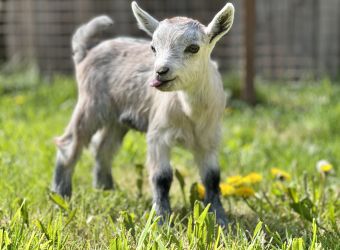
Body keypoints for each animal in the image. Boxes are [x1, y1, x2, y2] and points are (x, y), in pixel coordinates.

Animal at [51, 0, 234, 226]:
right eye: (153, 47)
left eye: (194, 48)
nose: (160, 71)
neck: (190, 112)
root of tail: (86, 53)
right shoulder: (158, 134)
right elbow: (162, 177)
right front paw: (162, 219)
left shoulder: (209, 139)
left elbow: (212, 178)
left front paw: (220, 218)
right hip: (91, 104)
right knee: (70, 144)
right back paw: (61, 196)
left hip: (116, 119)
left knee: (103, 148)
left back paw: (106, 190)